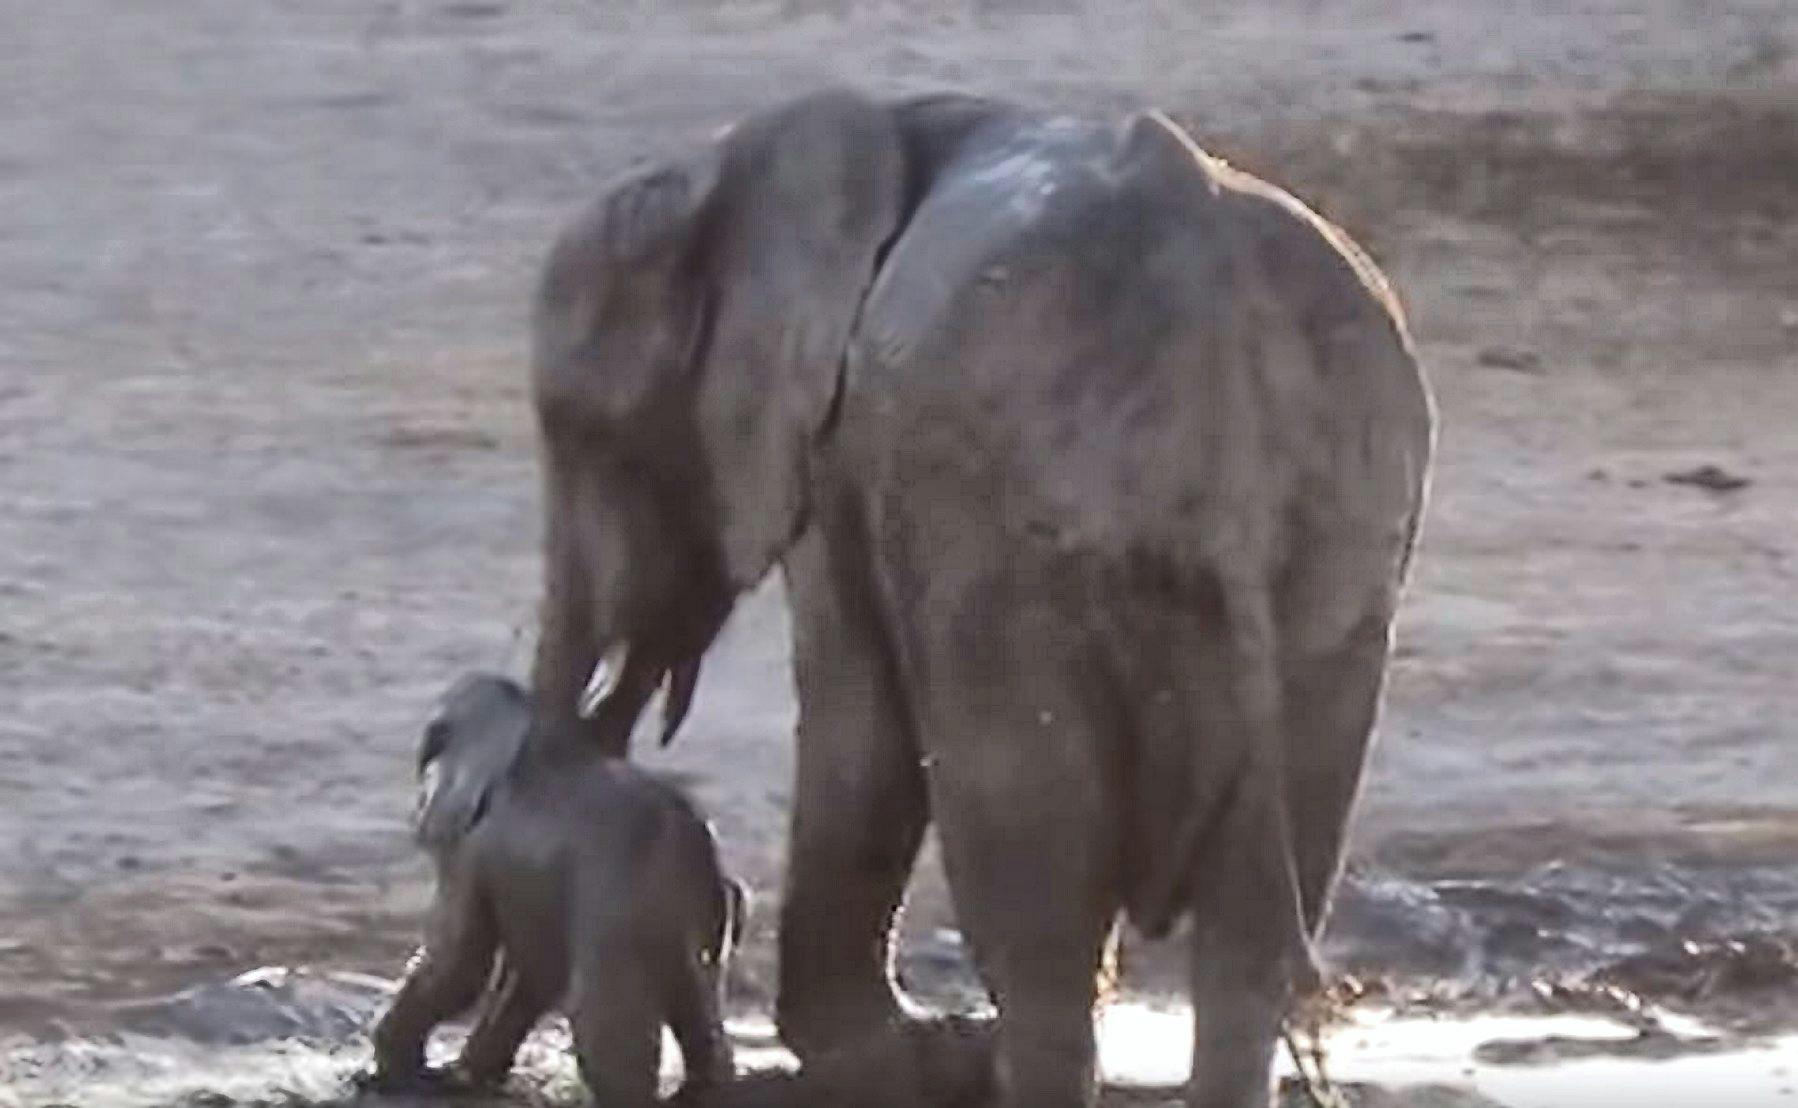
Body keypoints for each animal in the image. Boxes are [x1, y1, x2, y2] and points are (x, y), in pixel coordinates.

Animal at [365, 673, 743, 1106]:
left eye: (430, 745)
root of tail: (696, 847)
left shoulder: (472, 847)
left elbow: (461, 961)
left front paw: (393, 1072)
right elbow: (535, 974)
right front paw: (463, 1078)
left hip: (619, 909)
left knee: (603, 1016)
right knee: (697, 1001)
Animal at [527, 87, 1434, 1108]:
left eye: (582, 434)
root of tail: (1212, 333)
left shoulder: (841, 452)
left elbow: (856, 714)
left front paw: (881, 1051)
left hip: (1006, 535)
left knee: (1039, 914)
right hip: (1340, 549)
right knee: (1250, 939)